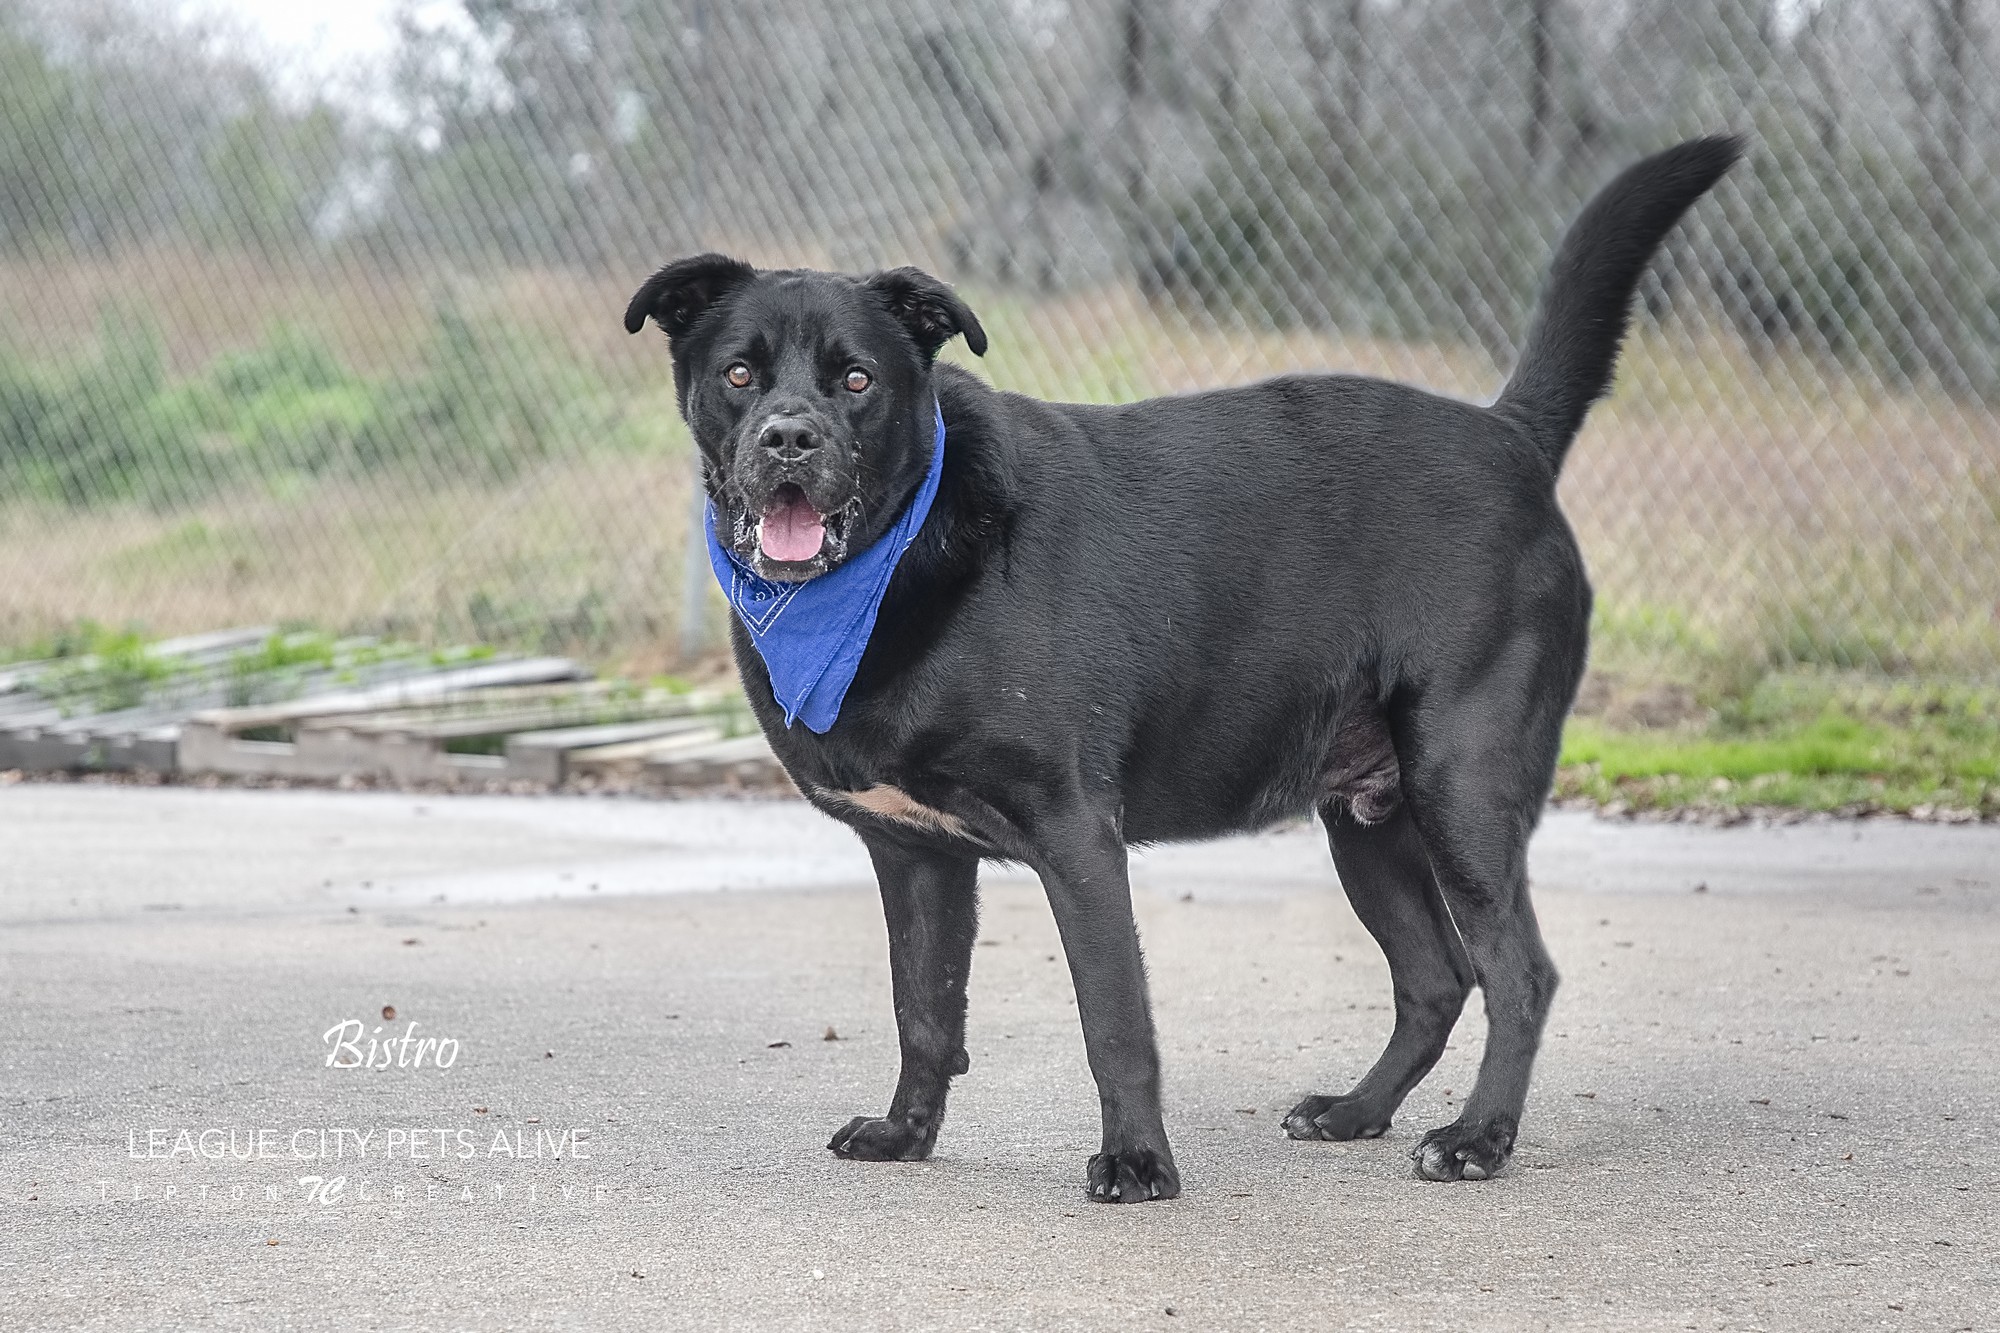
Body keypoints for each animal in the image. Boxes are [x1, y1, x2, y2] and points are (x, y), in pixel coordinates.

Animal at [620, 140, 1736, 1200]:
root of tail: (1509, 433)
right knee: (1435, 978)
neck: (896, 556)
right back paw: (1356, 1112)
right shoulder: (916, 856)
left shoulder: (1078, 835)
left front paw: (1138, 1164)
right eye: (738, 375)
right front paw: (906, 1134)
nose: (788, 438)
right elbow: (923, 1009)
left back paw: (1475, 1141)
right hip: (1367, 815)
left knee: (1518, 975)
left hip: (1461, 785)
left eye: (857, 380)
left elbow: (1114, 1022)